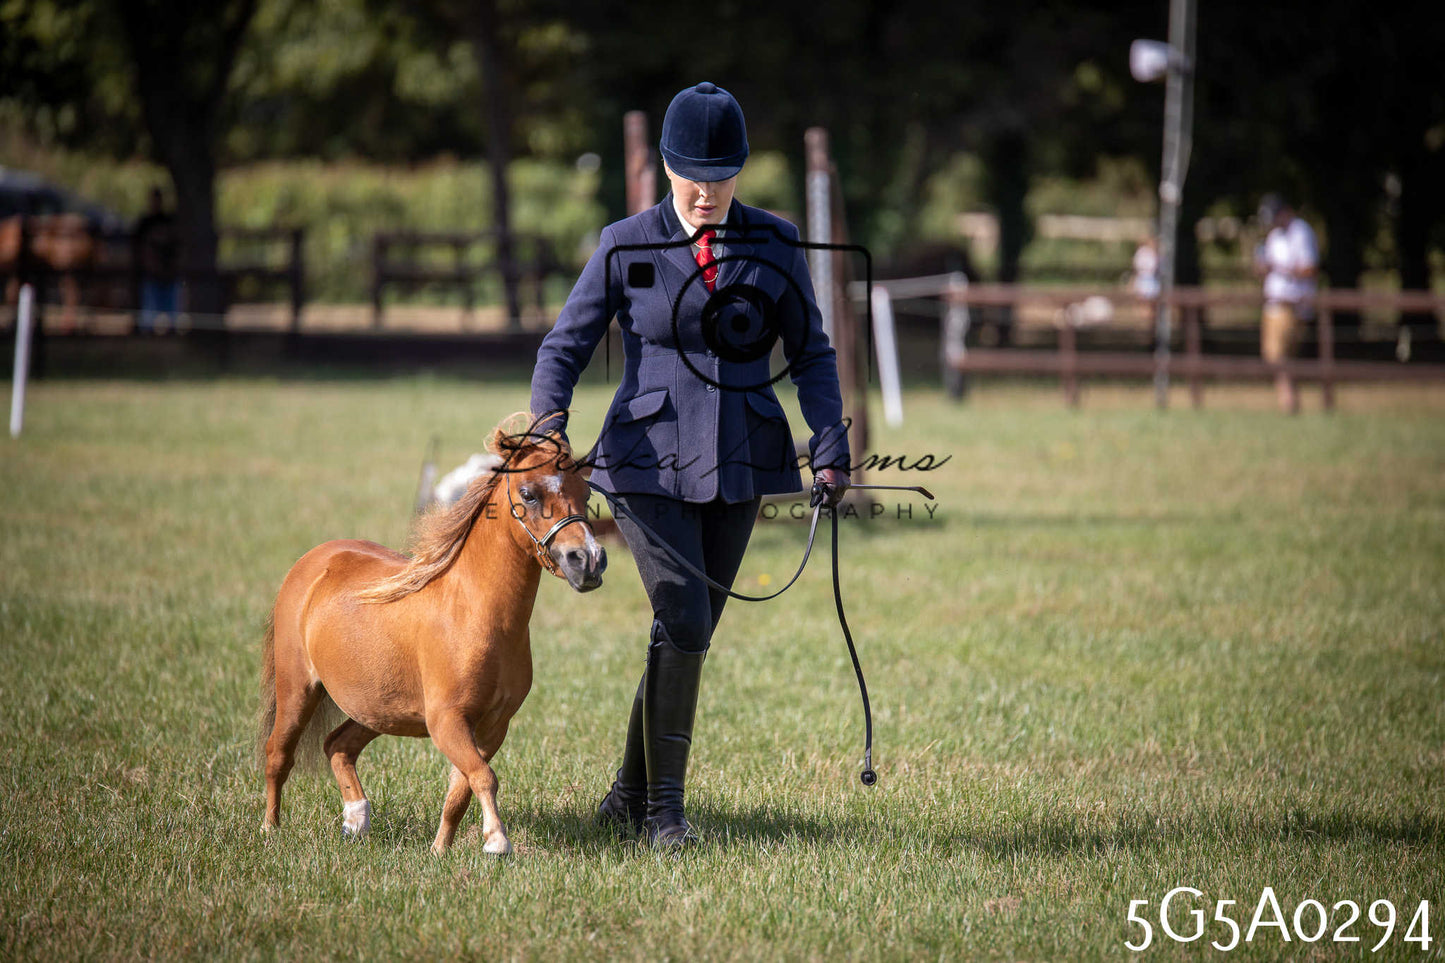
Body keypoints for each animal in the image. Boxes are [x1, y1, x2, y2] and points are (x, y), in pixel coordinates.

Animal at [258, 417, 606, 854]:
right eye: (528, 493)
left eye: (586, 492)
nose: (588, 561)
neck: (475, 615)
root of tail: (313, 561)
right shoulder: (447, 721)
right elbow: (483, 777)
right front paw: (496, 841)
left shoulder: (493, 725)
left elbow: (462, 787)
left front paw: (440, 851)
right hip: (297, 690)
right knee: (278, 753)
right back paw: (270, 830)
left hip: (377, 706)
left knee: (337, 746)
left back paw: (356, 822)